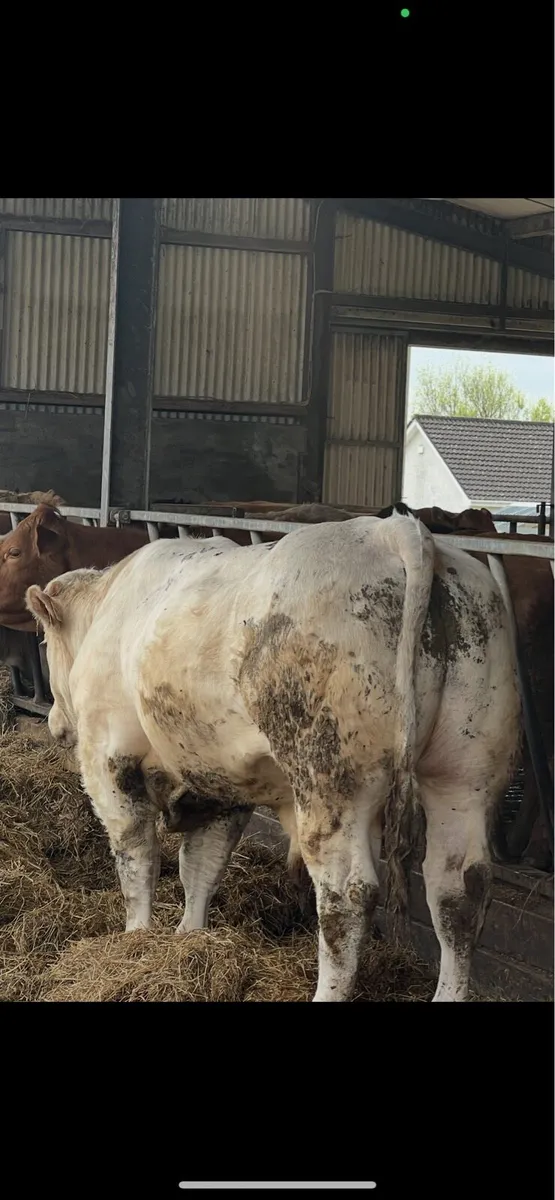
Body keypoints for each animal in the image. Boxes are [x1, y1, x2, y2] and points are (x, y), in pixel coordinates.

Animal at [26, 515, 520, 1003]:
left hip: (330, 779)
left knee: (347, 894)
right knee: (458, 890)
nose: (55, 722)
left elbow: (137, 859)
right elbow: (201, 865)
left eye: (44, 642)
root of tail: (393, 530)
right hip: (466, 772)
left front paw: (137, 938)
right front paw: (189, 937)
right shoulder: (219, 781)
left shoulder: (108, 758)